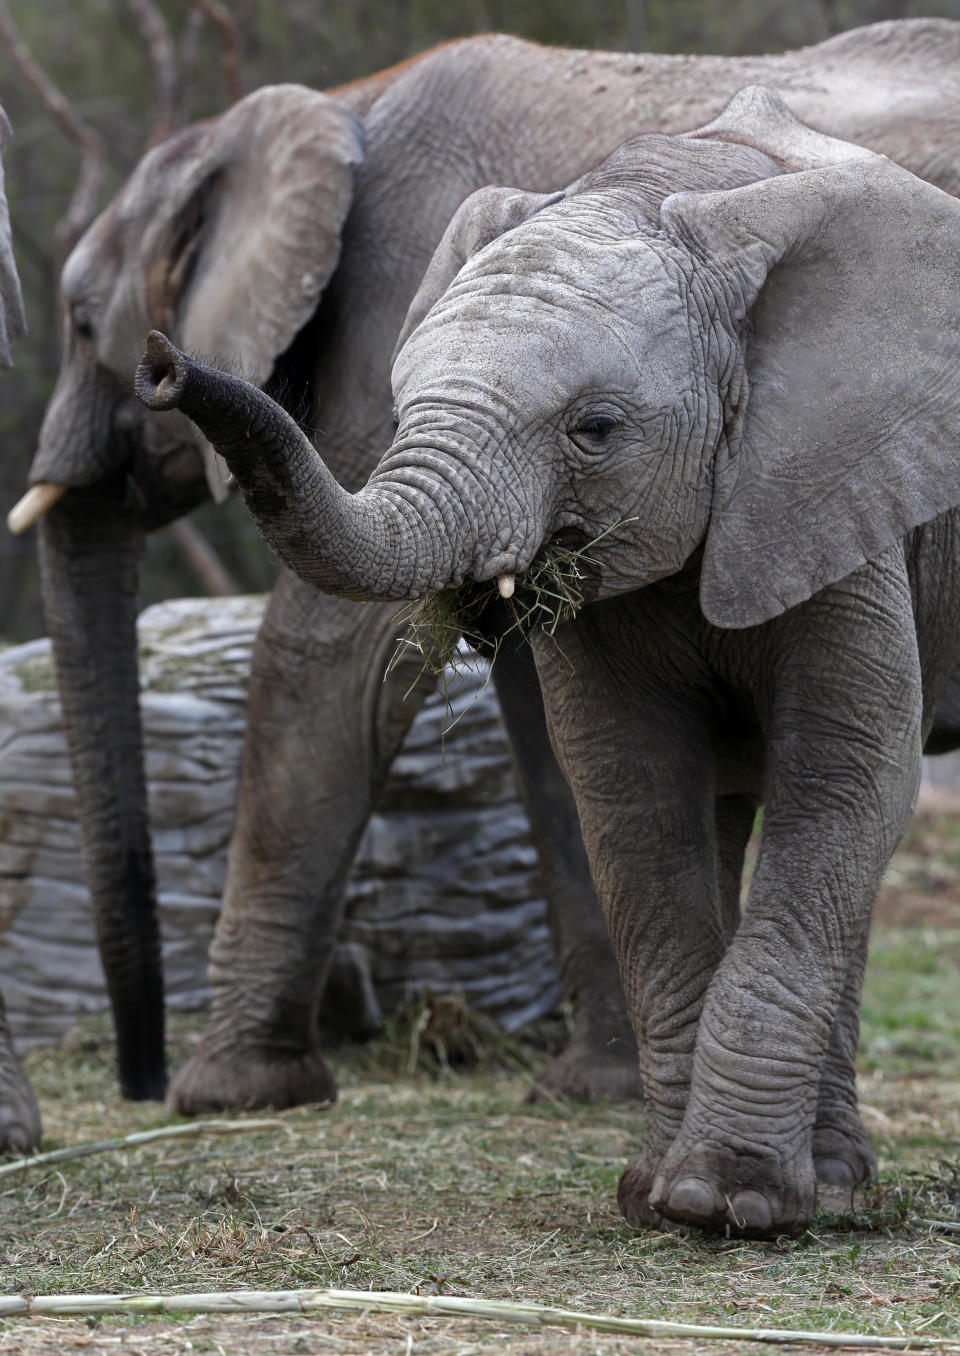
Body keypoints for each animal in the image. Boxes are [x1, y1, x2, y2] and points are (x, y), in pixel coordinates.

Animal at [11, 23, 960, 1111]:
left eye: (84, 323)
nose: (163, 366)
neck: (335, 110)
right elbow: (540, 717)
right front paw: (596, 1088)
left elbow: (326, 657)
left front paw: (229, 1095)